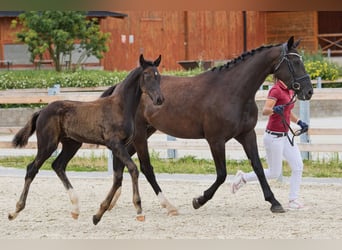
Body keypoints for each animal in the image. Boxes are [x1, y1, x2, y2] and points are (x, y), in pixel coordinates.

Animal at [7, 53, 163, 225]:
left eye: (158, 76)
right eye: (146, 75)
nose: (159, 99)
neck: (120, 107)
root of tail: (42, 111)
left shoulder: (120, 146)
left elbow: (117, 177)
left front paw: (98, 215)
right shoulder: (115, 144)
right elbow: (133, 169)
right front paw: (139, 210)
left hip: (72, 144)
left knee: (58, 165)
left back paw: (75, 209)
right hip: (48, 145)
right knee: (32, 169)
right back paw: (15, 211)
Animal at [101, 36, 312, 216]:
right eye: (294, 62)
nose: (308, 91)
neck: (233, 91)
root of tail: (119, 87)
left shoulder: (247, 134)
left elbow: (258, 168)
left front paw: (274, 202)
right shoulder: (215, 140)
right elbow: (221, 174)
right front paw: (199, 200)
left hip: (146, 132)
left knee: (121, 160)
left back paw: (111, 202)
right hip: (140, 135)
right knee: (145, 167)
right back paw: (168, 205)